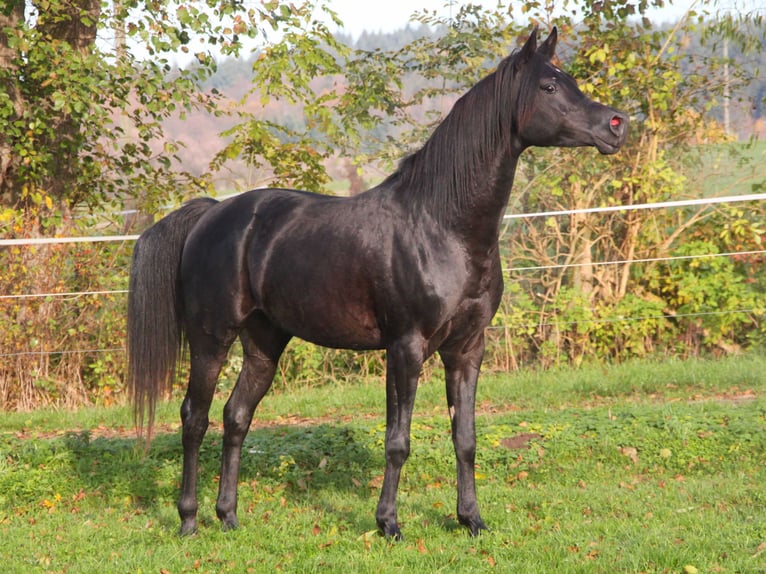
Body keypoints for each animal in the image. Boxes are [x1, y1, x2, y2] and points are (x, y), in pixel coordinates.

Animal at [127, 27, 628, 539]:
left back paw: (228, 516)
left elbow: (465, 438)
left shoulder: (468, 348)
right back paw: (188, 520)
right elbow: (398, 440)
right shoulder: (406, 347)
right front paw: (389, 523)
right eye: (549, 87)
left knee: (236, 417)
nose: (616, 124)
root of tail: (211, 213)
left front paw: (471, 520)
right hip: (211, 339)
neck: (442, 225)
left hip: (265, 342)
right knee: (195, 418)